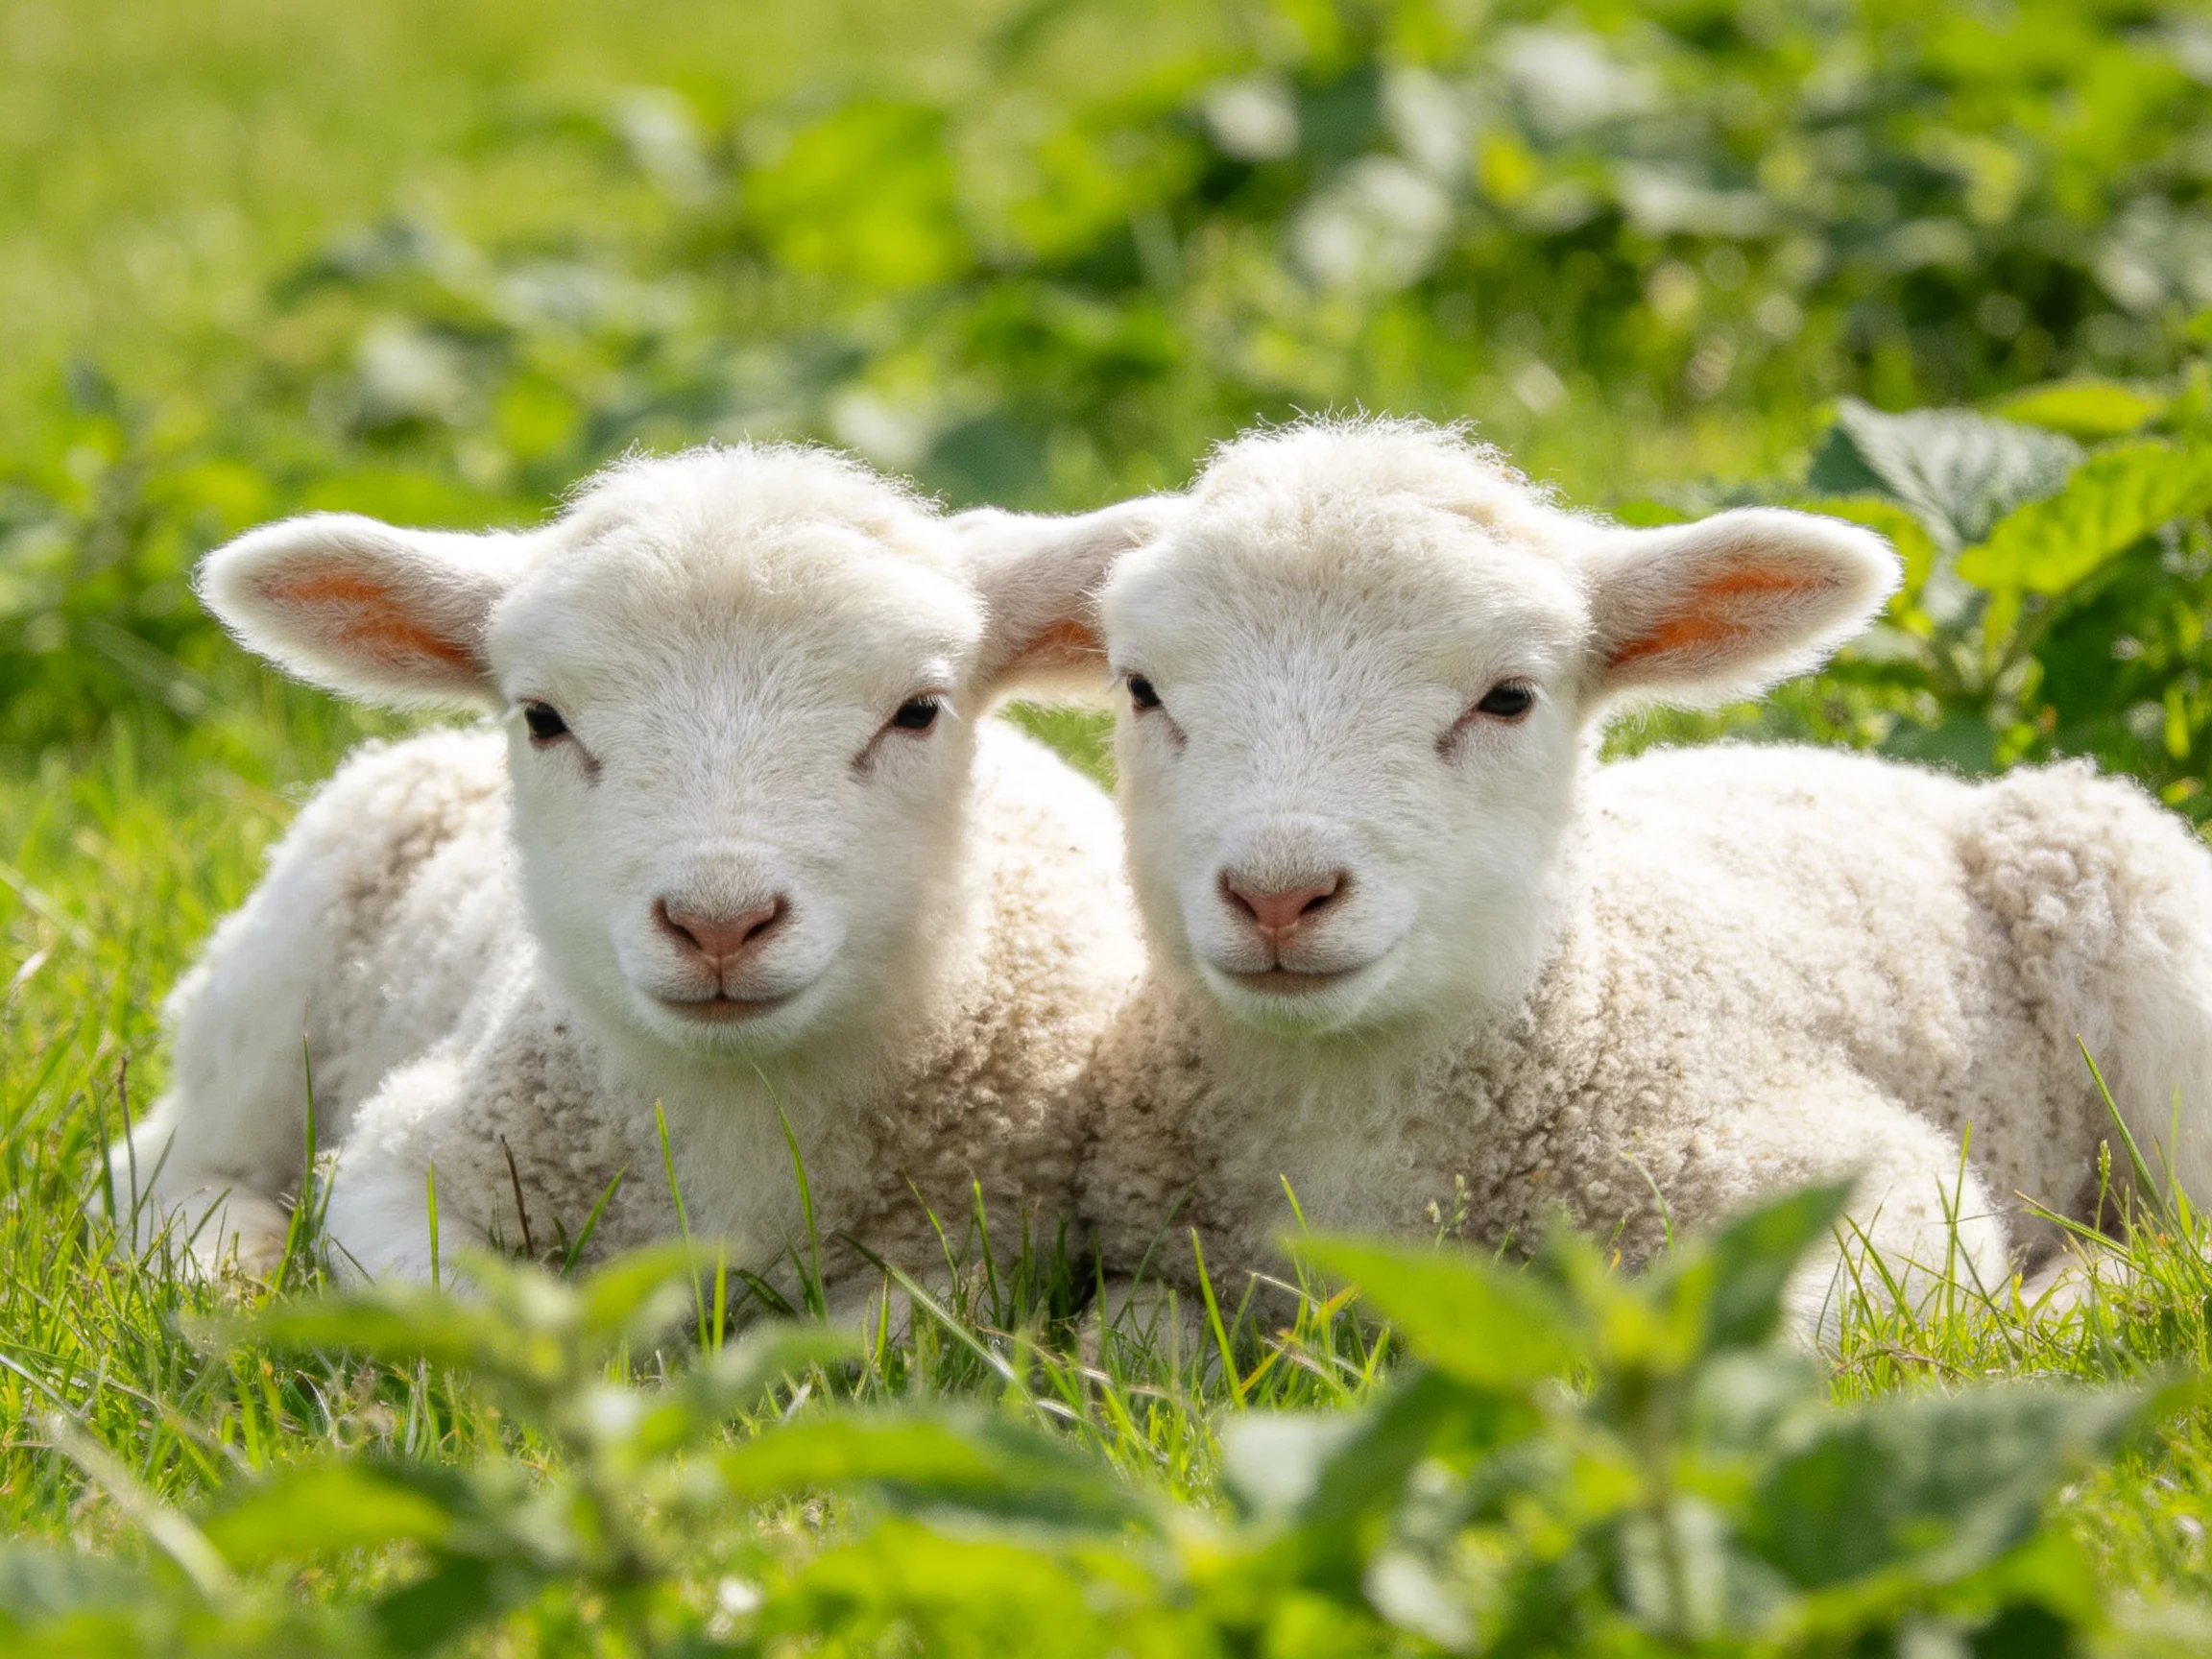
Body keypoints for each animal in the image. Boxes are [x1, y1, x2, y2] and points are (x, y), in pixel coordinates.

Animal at [105, 443, 1155, 1309]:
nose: (719, 923)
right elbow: (465, 1306)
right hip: (267, 1006)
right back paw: (221, 1261)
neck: (742, 1106)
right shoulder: (400, 1161)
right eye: (542, 718)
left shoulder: (989, 1245)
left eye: (919, 710)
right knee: (160, 1163)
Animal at [971, 416, 2212, 1338]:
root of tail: (1928, 780)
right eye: (1142, 690)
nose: (1280, 893)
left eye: (1508, 697)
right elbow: (1125, 1344)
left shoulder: (1865, 1197)